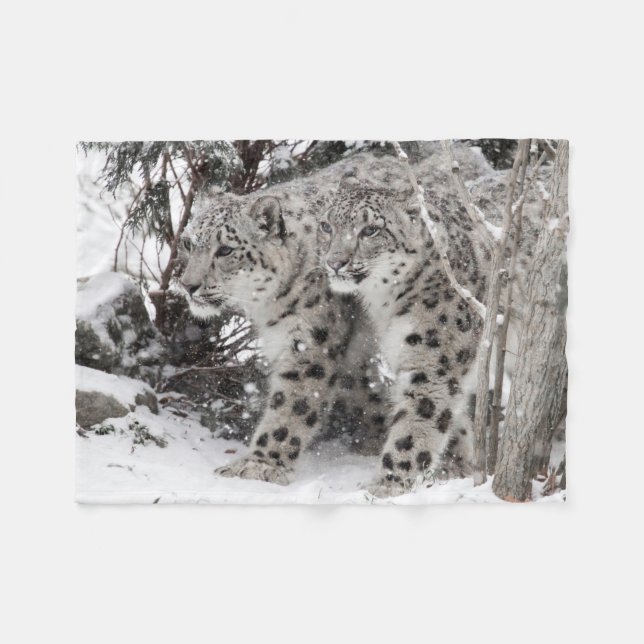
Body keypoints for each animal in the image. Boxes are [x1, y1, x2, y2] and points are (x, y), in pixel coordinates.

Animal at [179, 189, 388, 485]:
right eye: (188, 243)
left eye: (225, 249)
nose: (188, 286)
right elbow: (360, 390)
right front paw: (375, 435)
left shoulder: (312, 340)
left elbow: (292, 404)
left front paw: (260, 464)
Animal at [317, 169, 490, 497]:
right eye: (326, 225)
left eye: (371, 230)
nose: (334, 263)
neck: (387, 304)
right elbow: (454, 420)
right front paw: (456, 467)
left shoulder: (433, 360)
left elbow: (415, 424)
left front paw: (386, 485)